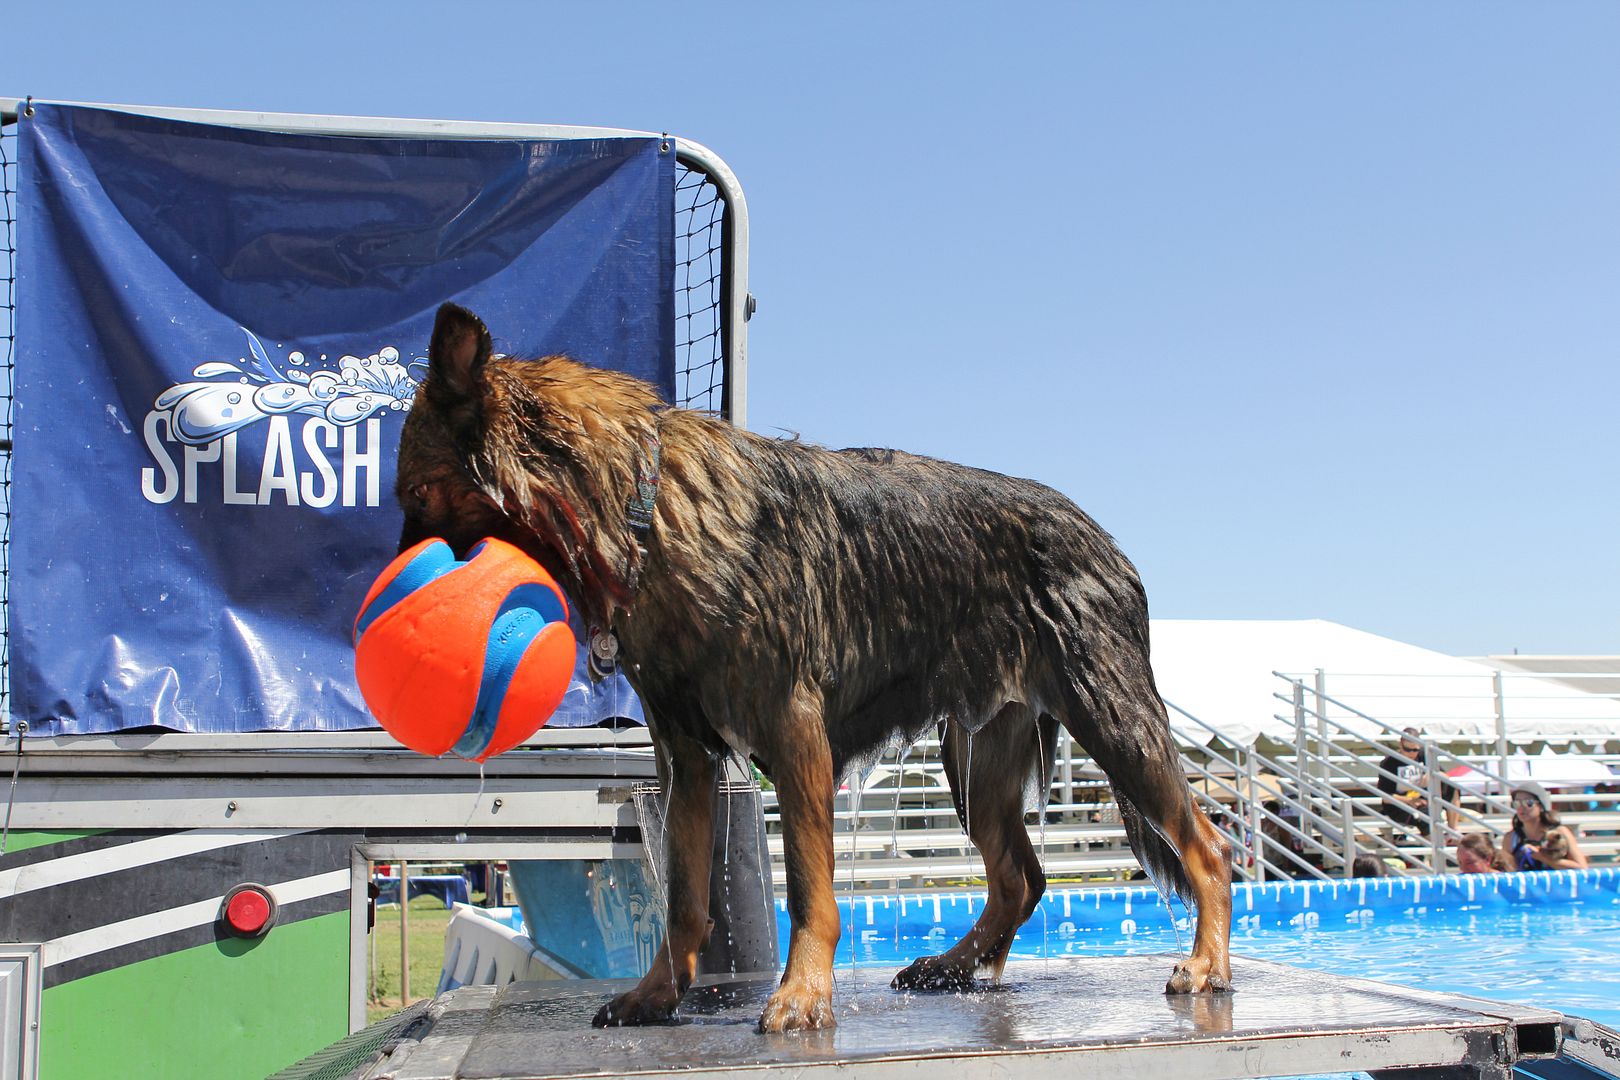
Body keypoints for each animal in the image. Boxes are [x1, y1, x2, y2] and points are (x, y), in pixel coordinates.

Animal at [398, 302, 1231, 1029]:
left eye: (416, 491)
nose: (393, 584)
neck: (645, 505)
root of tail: (1108, 542)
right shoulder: (687, 759)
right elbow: (685, 899)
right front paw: (657, 994)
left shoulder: (794, 732)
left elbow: (807, 887)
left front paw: (801, 993)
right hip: (976, 758)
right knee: (1019, 877)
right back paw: (955, 965)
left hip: (1112, 721)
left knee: (1208, 849)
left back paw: (1206, 964)